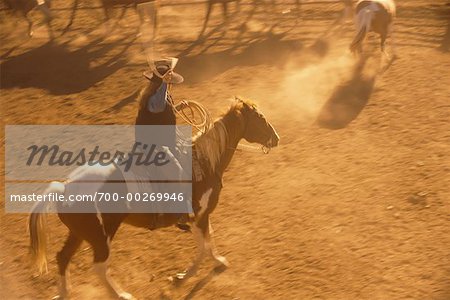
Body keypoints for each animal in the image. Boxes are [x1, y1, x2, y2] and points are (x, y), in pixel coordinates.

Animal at [28, 99, 278, 300]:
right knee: (99, 267)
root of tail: (65, 188)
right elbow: (203, 246)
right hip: (101, 237)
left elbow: (209, 241)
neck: (205, 160)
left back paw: (64, 293)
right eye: (260, 117)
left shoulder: (201, 217)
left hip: (80, 234)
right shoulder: (200, 215)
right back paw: (122, 295)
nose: (275, 138)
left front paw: (215, 263)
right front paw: (183, 277)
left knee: (63, 257)